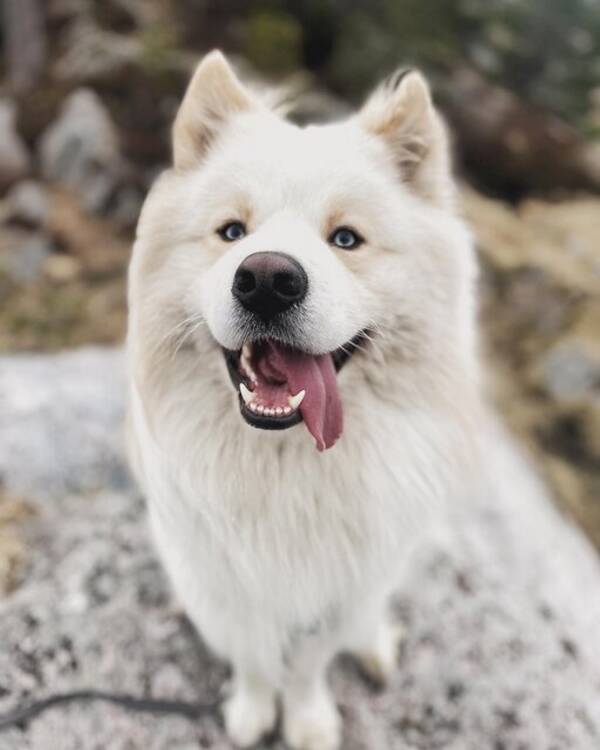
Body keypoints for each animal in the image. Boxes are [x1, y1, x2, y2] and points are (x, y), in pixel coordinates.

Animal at [129, 53, 486, 750]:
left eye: (346, 239)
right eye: (231, 231)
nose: (267, 278)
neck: (285, 466)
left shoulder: (345, 581)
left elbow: (311, 661)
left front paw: (308, 720)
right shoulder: (228, 580)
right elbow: (253, 654)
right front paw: (250, 712)